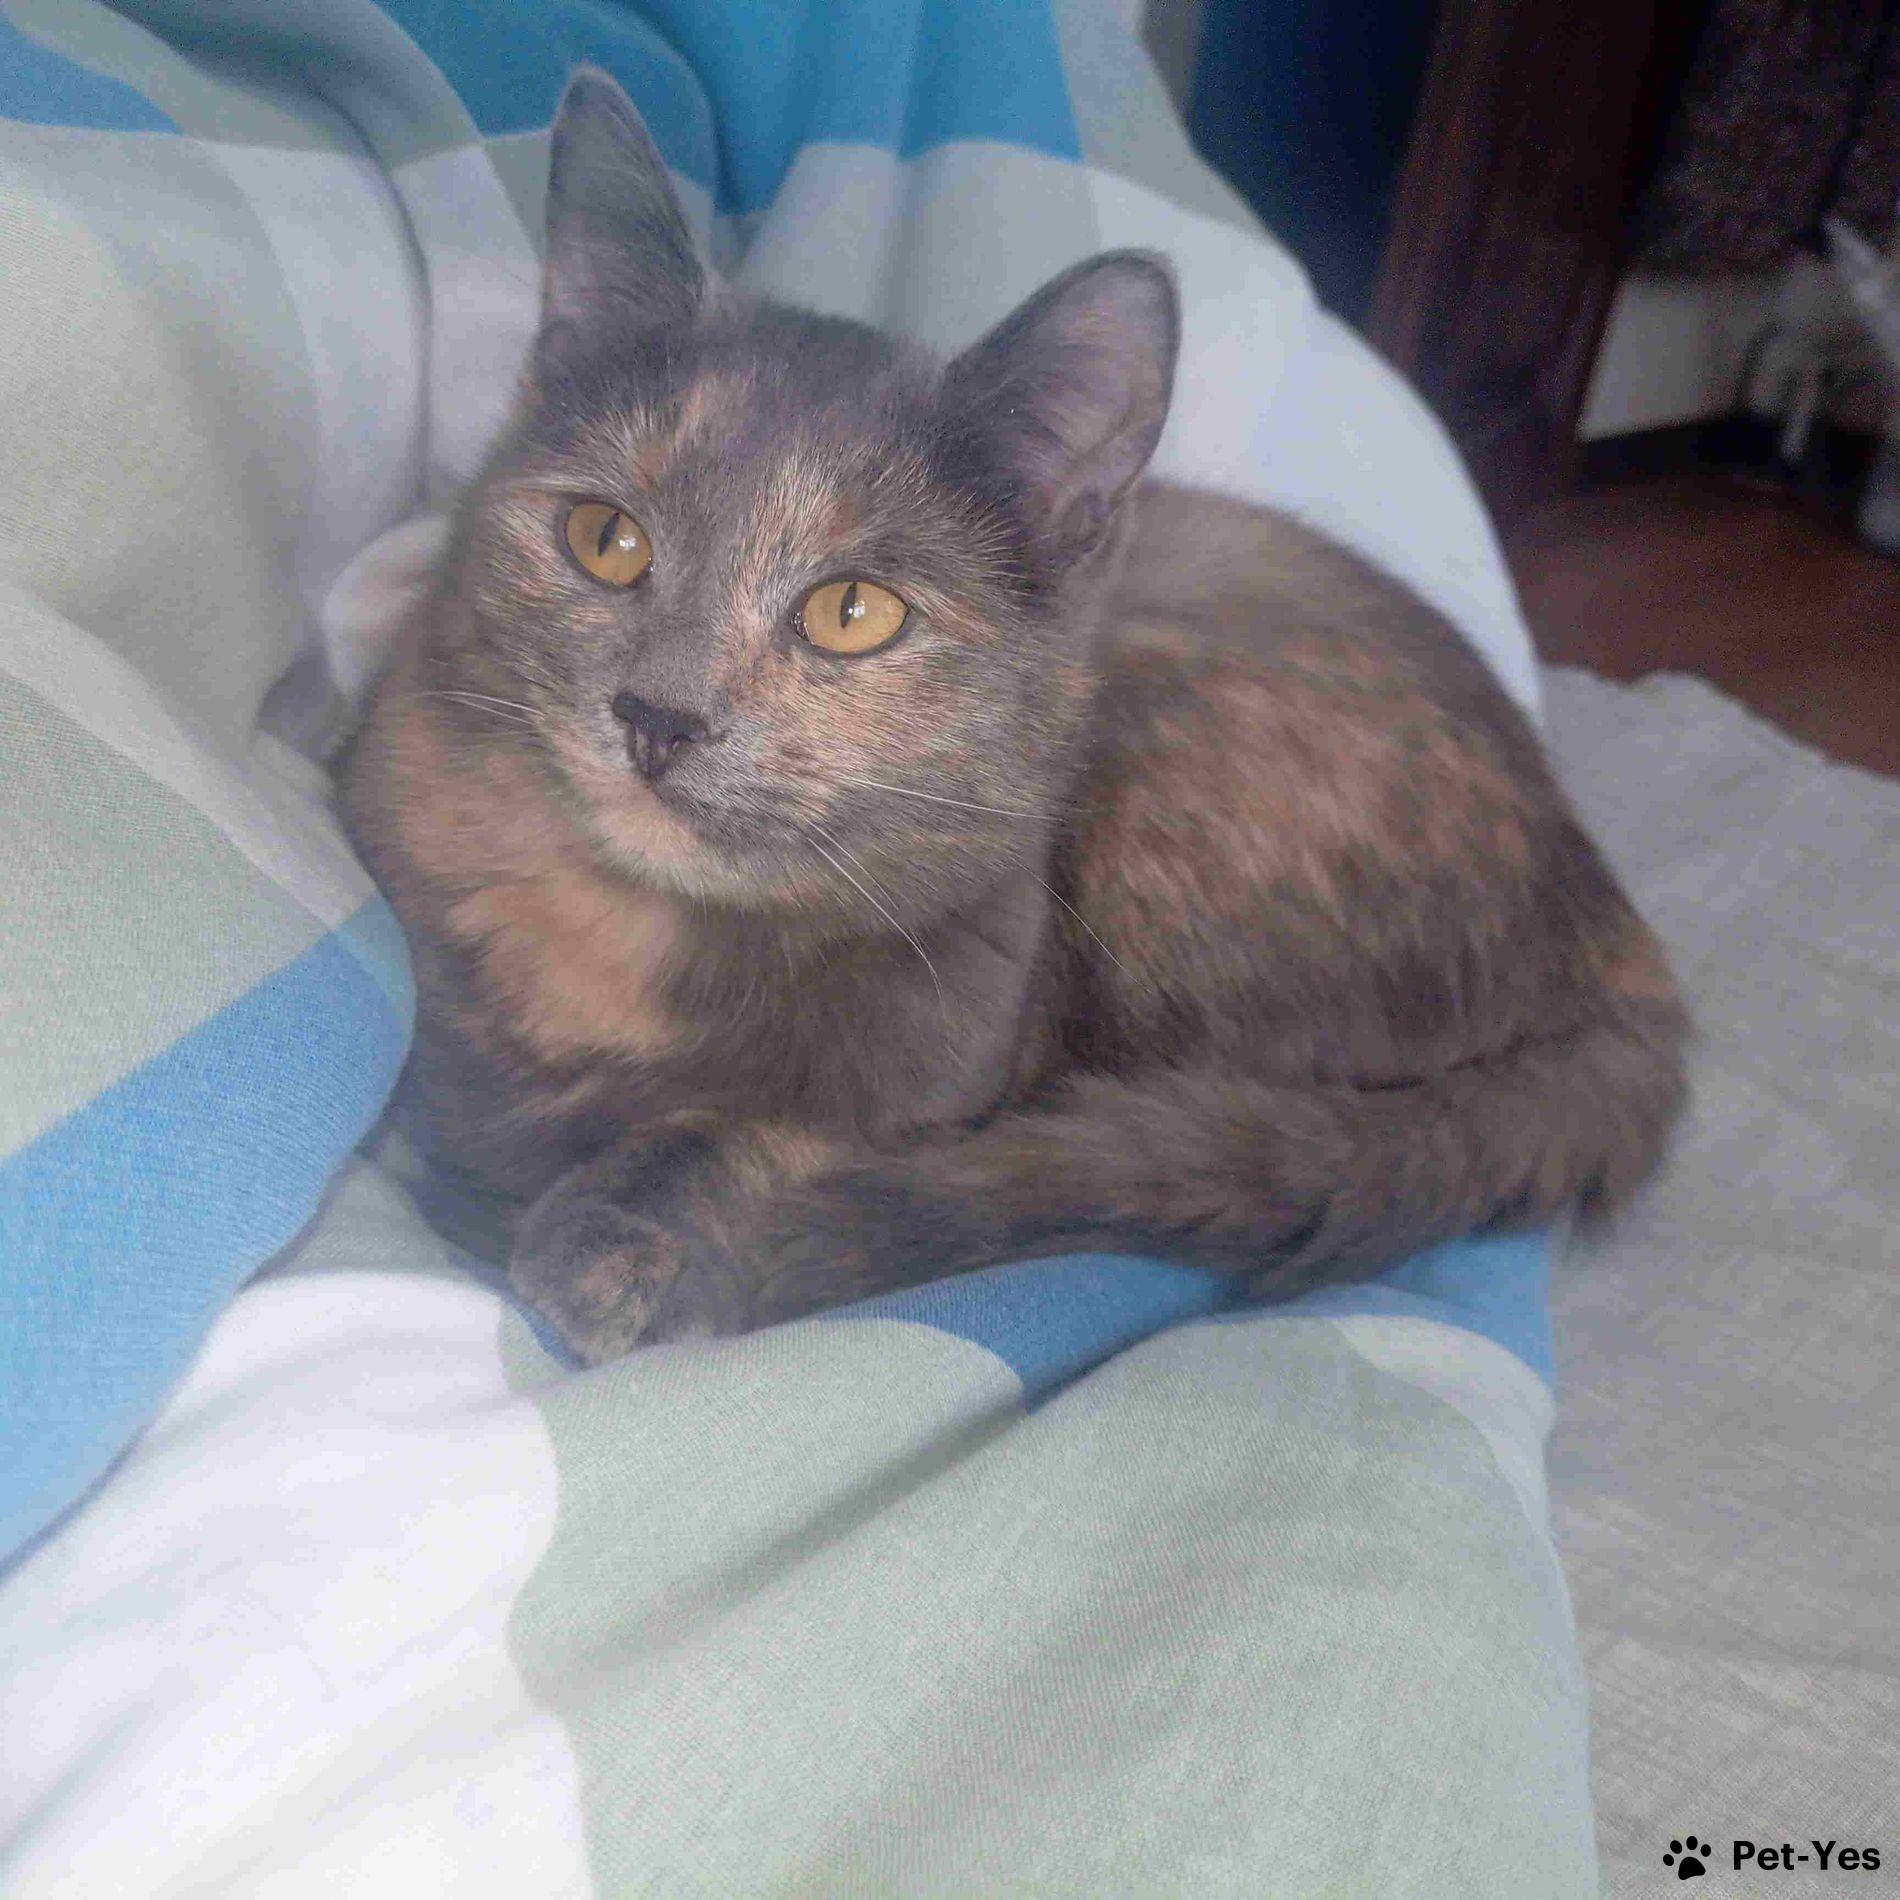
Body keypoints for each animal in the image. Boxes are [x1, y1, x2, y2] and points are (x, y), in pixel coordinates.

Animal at [342, 70, 1687, 1364]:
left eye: (850, 612)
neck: (629, 937)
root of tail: (1617, 938)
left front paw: (610, 1235)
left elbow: (786, 1128)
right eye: (604, 539)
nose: (657, 717)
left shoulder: (969, 1046)